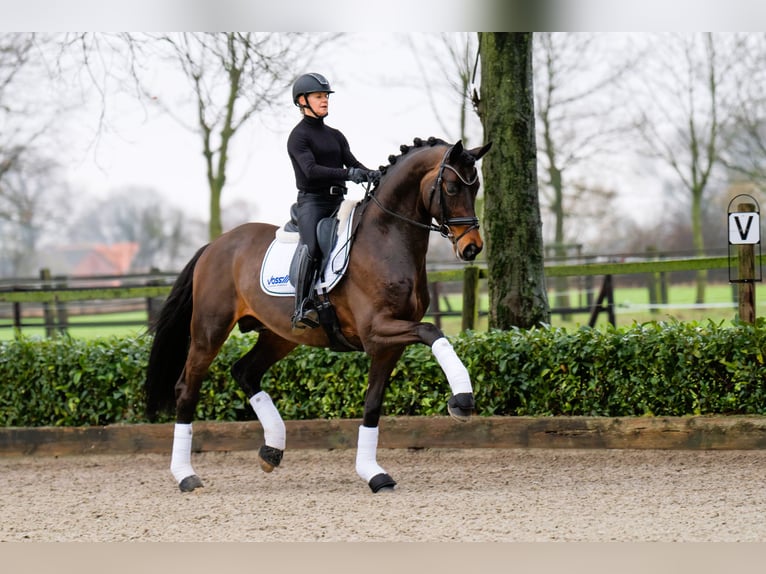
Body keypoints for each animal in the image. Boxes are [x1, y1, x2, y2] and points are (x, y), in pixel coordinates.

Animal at [144, 136, 492, 496]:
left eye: (476, 186)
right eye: (451, 187)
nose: (472, 248)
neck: (386, 239)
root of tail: (213, 246)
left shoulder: (387, 345)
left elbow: (373, 403)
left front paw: (373, 473)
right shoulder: (377, 330)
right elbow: (432, 331)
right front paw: (462, 400)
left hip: (279, 336)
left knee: (244, 372)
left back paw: (272, 450)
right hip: (209, 330)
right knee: (187, 387)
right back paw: (186, 475)